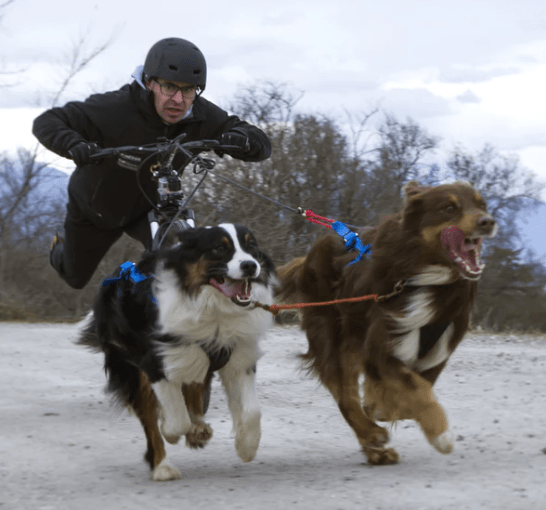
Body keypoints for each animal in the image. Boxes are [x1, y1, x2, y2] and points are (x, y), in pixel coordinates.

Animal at [278, 181, 496, 464]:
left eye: (482, 205)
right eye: (449, 207)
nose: (488, 221)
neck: (427, 279)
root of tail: (308, 257)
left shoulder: (436, 355)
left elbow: (405, 395)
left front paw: (379, 404)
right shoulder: (380, 348)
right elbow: (416, 391)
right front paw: (441, 434)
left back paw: (375, 449)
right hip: (331, 331)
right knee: (341, 391)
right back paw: (371, 435)